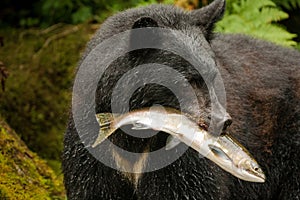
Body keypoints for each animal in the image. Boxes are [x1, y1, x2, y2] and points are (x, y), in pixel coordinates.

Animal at [62, 0, 298, 199]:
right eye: (189, 79)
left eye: (214, 76)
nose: (223, 121)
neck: (134, 140)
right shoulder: (92, 148)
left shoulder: (179, 162)